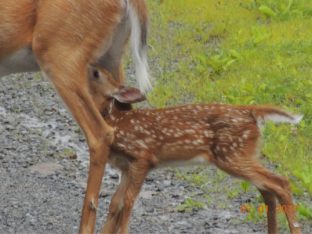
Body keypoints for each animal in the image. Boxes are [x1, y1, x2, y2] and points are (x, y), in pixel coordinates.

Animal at [88, 66, 302, 234]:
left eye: (97, 74)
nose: (90, 66)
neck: (114, 123)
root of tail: (253, 113)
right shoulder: (126, 167)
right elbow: (115, 202)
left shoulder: (143, 156)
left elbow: (128, 201)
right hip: (243, 154)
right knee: (268, 190)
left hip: (232, 154)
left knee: (280, 183)